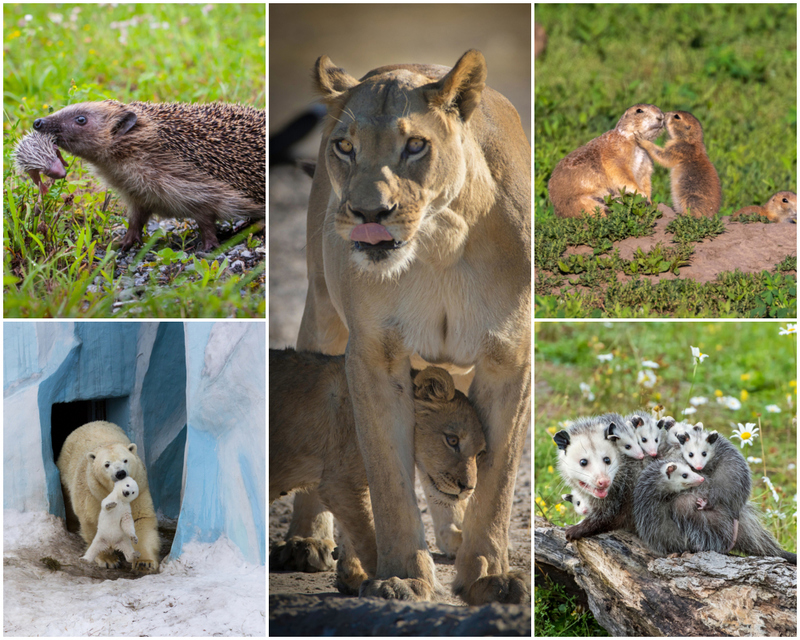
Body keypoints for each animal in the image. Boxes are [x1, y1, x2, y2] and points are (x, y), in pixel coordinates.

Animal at [55, 422, 159, 572]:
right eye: (107, 464)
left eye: (125, 460)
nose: (120, 473)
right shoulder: (93, 493)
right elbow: (93, 521)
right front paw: (108, 560)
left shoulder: (139, 488)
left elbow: (140, 518)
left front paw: (145, 562)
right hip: (65, 471)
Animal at [294, 51, 532, 604]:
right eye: (345, 146)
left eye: (416, 145)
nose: (368, 212)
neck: (441, 242)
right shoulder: (373, 356)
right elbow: (387, 478)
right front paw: (401, 575)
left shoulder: (508, 358)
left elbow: (498, 480)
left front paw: (487, 574)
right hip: (320, 316)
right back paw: (309, 544)